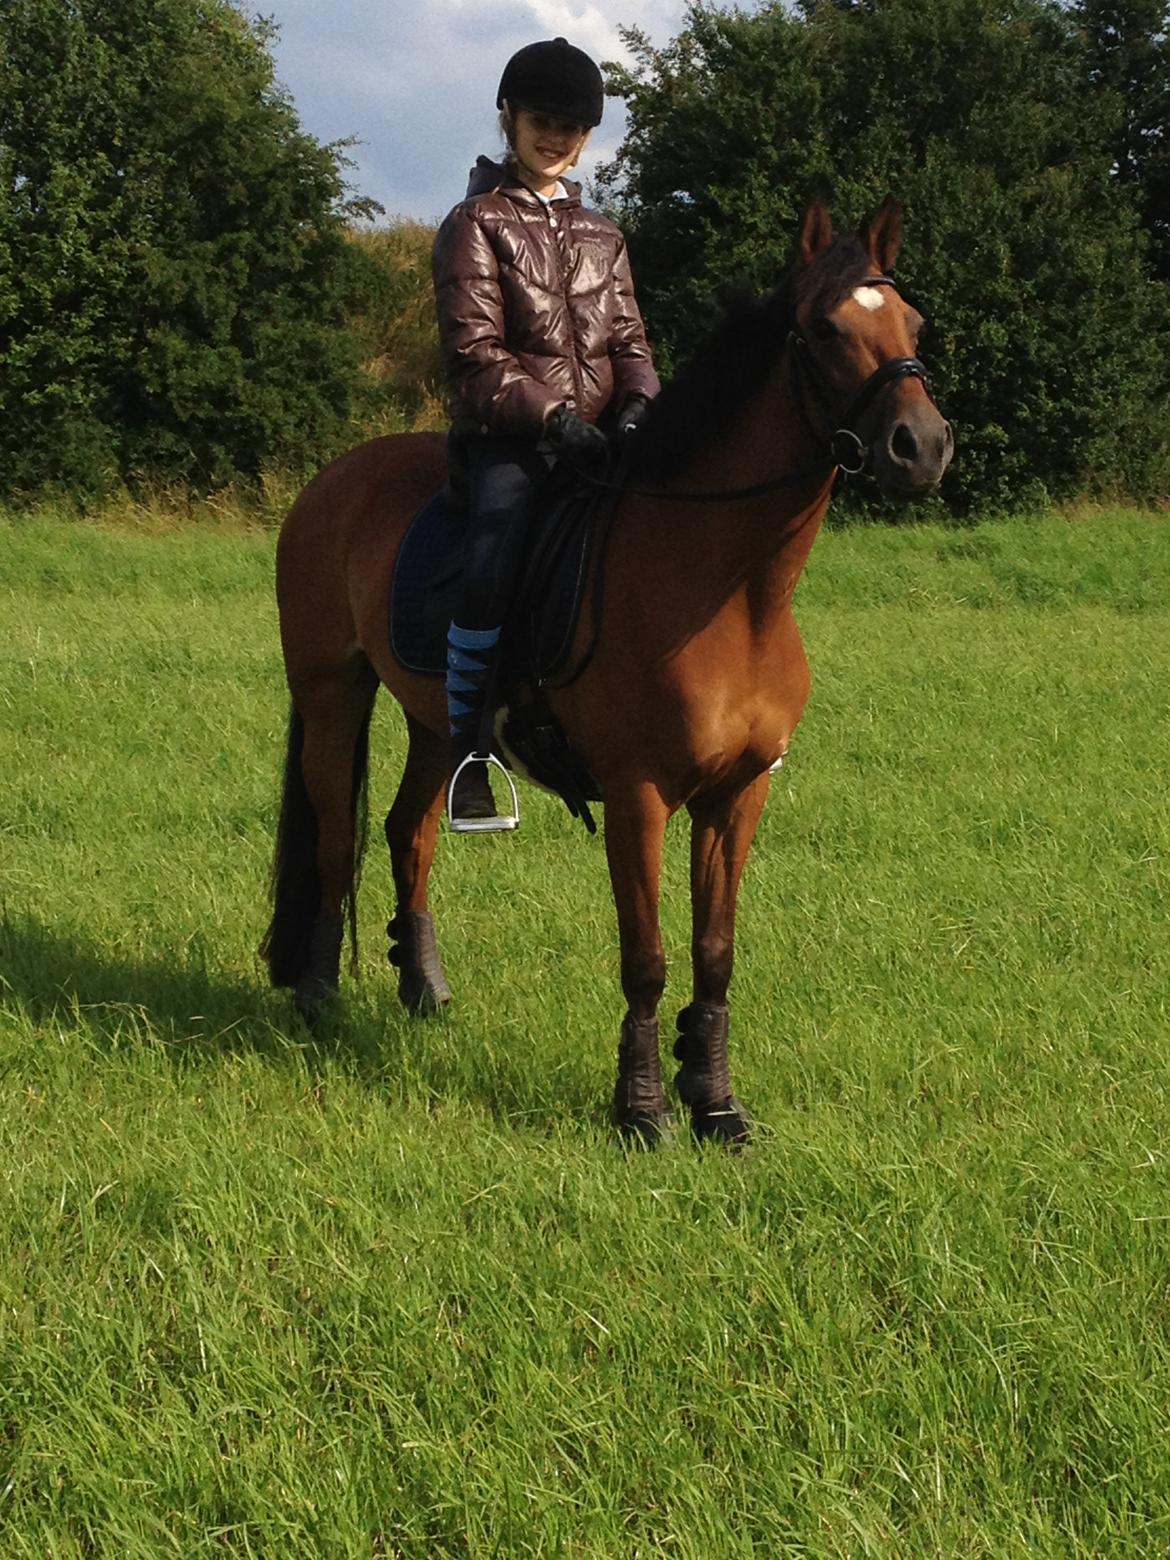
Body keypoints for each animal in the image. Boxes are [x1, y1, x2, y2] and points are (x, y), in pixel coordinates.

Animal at [261, 196, 953, 1146]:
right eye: (824, 327)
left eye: (913, 324)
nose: (922, 446)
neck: (729, 591)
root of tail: (332, 479)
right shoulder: (638, 796)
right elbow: (648, 958)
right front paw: (644, 1112)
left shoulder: (738, 796)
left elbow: (714, 954)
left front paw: (716, 1103)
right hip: (333, 695)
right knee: (337, 838)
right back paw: (319, 993)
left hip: (439, 723)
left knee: (410, 830)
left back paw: (423, 985)